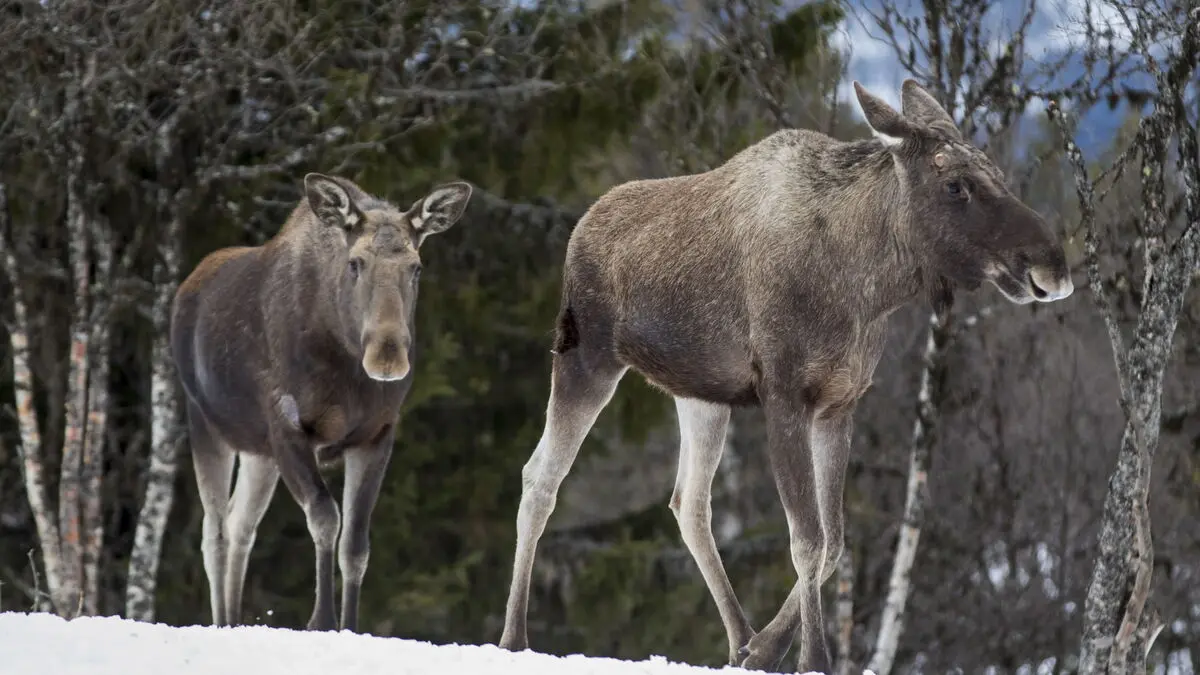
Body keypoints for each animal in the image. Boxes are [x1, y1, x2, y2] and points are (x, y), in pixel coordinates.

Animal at [171, 172, 472, 632]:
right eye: (355, 263)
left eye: (416, 267)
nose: (387, 356)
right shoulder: (289, 428)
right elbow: (326, 518)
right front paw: (322, 619)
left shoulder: (375, 436)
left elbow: (356, 544)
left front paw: (350, 623)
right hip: (205, 424)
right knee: (215, 531)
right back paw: (222, 621)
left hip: (259, 453)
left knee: (242, 525)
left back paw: (237, 619)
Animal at [497, 79, 1075, 672]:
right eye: (956, 184)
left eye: (996, 173)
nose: (1052, 266)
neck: (868, 286)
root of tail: (579, 229)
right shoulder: (785, 395)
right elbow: (808, 540)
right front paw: (812, 656)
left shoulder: (839, 404)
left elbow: (834, 541)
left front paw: (767, 647)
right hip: (586, 359)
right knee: (541, 477)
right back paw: (514, 636)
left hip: (700, 395)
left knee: (689, 503)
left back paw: (739, 638)